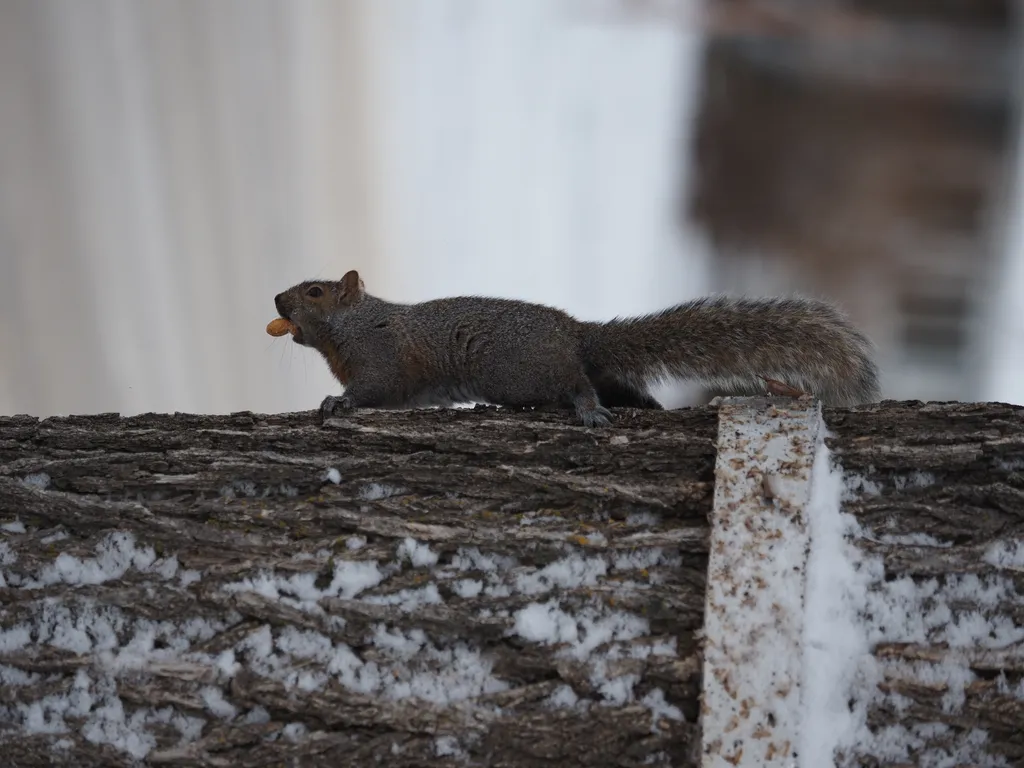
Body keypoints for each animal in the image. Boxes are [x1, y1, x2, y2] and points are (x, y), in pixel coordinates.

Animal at [272, 270, 880, 428]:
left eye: (316, 292)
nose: (276, 299)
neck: (351, 326)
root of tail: (575, 331)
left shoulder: (381, 358)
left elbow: (372, 390)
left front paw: (338, 403)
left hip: (518, 369)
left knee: (578, 383)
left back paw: (587, 410)